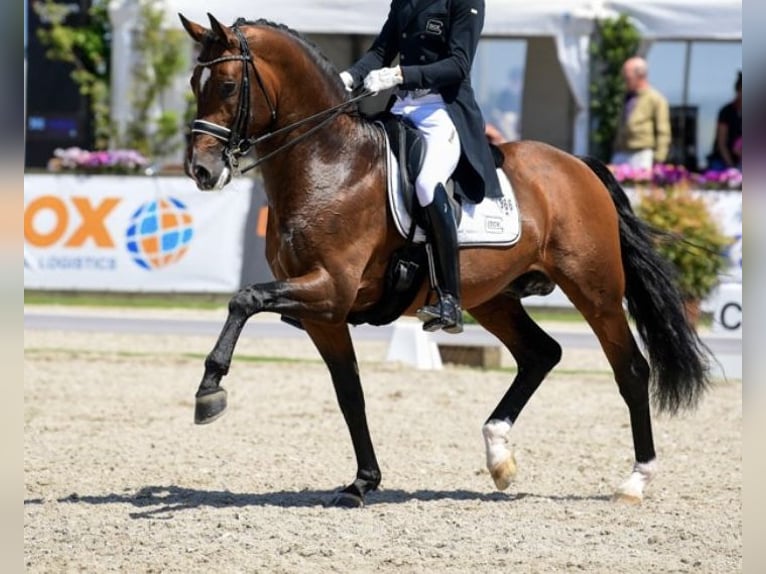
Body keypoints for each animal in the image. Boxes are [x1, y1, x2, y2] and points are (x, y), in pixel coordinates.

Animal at [178, 13, 710, 508]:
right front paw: (362, 483)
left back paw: (635, 480)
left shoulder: (330, 288)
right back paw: (498, 456)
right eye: (193, 85)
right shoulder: (324, 315)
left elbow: (244, 299)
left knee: (631, 369)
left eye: (228, 85)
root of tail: (578, 165)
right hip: (494, 298)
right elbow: (350, 393)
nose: (201, 171)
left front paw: (209, 390)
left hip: (595, 290)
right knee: (541, 354)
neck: (329, 164)